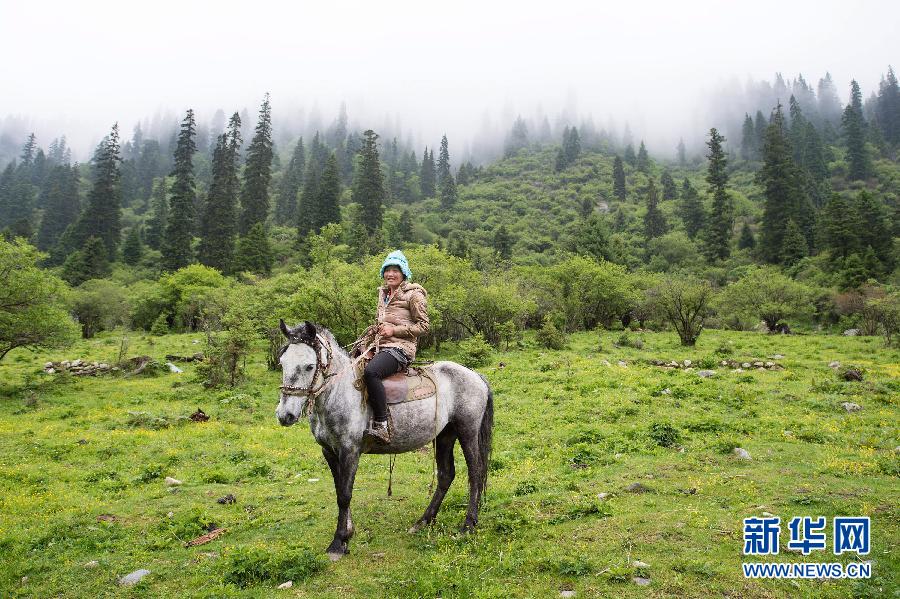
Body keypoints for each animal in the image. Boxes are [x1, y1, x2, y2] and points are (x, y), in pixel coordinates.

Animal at [278, 322, 496, 560]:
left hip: (467, 431)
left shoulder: (350, 451)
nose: (285, 415)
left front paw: (338, 542)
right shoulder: (329, 451)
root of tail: (475, 375)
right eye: (282, 363)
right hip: (445, 435)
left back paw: (468, 525)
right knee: (446, 475)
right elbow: (339, 491)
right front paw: (348, 534)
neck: (339, 392)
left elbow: (344, 495)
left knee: (475, 473)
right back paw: (423, 521)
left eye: (309, 366)